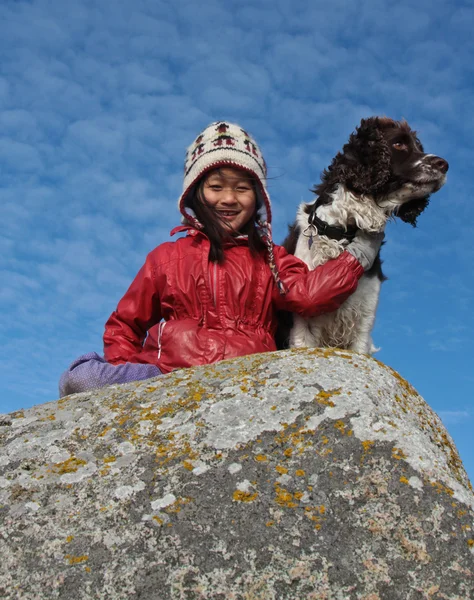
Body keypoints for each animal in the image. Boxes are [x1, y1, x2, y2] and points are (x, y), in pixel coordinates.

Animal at [280, 115, 450, 354]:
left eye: (419, 147)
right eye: (399, 143)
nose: (444, 164)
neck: (342, 231)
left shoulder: (364, 319)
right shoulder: (302, 326)